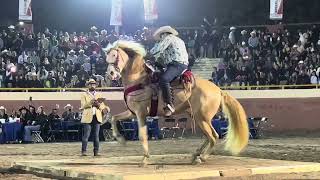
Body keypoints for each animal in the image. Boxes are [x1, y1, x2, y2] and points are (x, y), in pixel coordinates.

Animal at [105, 40, 250, 166]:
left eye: (115, 56)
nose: (110, 73)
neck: (139, 79)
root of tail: (219, 90)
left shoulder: (140, 113)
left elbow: (142, 135)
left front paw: (145, 159)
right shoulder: (132, 112)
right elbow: (114, 118)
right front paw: (121, 139)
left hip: (202, 119)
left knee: (213, 136)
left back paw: (201, 158)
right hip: (199, 118)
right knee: (209, 136)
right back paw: (195, 155)